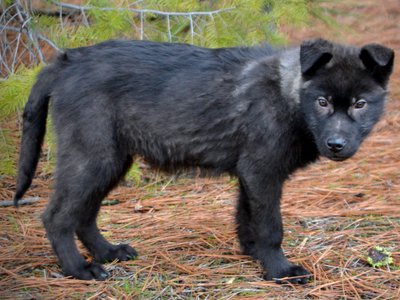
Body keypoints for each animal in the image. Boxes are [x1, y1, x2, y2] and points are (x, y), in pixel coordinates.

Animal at [14, 38, 394, 282]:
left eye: (360, 104)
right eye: (322, 102)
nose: (337, 145)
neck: (288, 96)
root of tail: (67, 60)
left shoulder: (250, 174)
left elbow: (247, 220)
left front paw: (254, 256)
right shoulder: (262, 172)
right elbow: (271, 227)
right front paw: (280, 271)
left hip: (112, 160)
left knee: (85, 214)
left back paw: (106, 252)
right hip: (92, 156)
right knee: (57, 217)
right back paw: (79, 269)